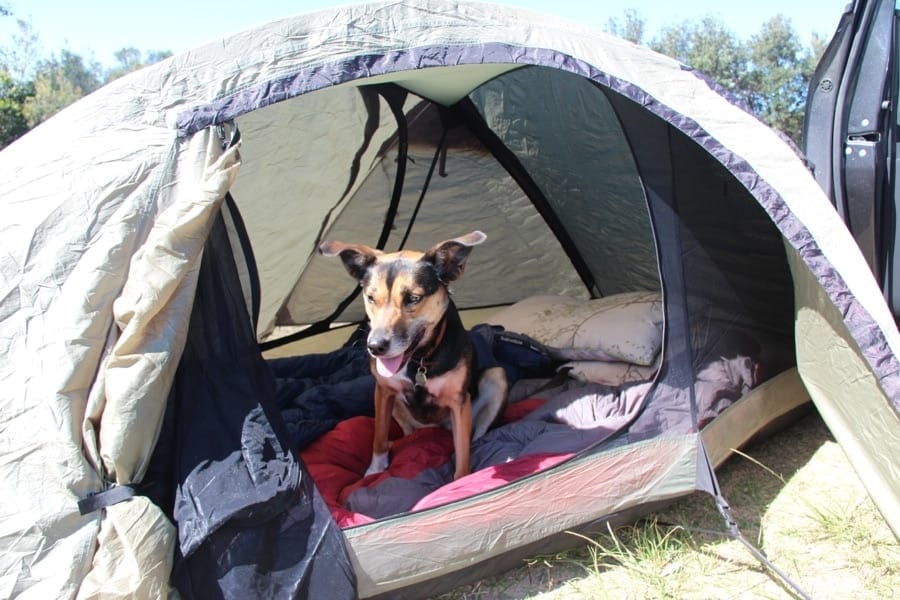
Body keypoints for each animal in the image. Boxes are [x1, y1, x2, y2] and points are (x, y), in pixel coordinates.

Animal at [320, 232, 510, 480]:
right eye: (370, 298)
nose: (375, 346)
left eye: (412, 298)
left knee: (476, 434)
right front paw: (375, 469)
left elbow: (462, 454)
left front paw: (461, 480)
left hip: (496, 377)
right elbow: (379, 437)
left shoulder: (459, 402)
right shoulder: (383, 392)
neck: (418, 360)